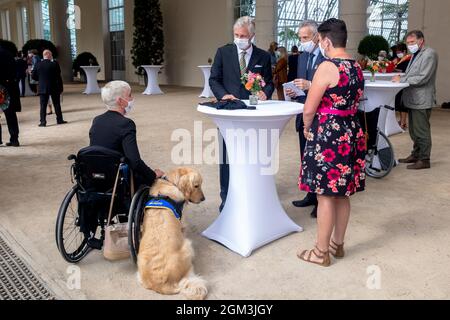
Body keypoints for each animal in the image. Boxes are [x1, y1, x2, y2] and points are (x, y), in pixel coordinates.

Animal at [137, 168, 207, 300]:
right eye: (196, 185)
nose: (203, 199)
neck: (170, 183)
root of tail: (161, 285)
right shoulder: (182, 222)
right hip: (187, 245)